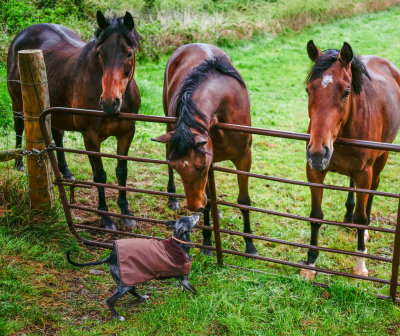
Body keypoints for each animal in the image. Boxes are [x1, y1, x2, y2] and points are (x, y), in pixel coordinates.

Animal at [6, 11, 142, 231]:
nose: (109, 102)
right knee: (19, 127)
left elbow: (122, 172)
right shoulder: (91, 138)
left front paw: (125, 213)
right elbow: (100, 175)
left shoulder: (127, 133)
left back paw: (66, 172)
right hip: (18, 102)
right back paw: (19, 163)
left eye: (129, 53)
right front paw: (105, 218)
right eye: (100, 53)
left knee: (57, 135)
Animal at [69, 214, 202, 322]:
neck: (179, 244)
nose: (198, 212)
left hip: (129, 280)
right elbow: (195, 291)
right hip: (124, 285)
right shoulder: (185, 279)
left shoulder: (181, 279)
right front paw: (201, 299)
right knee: (110, 301)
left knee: (132, 290)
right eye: (191, 218)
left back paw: (142, 297)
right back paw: (118, 317)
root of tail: (111, 256)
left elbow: (183, 289)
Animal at [152, 44, 258, 255]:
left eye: (201, 167)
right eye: (176, 167)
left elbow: (243, 201)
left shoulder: (243, 158)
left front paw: (250, 246)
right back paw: (172, 198)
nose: (193, 206)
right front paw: (208, 242)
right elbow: (208, 201)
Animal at [302, 40, 400, 280]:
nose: (317, 153)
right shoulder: (315, 171)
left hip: (379, 163)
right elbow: (316, 215)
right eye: (308, 89)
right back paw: (347, 217)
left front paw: (360, 266)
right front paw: (310, 263)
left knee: (372, 193)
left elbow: (361, 217)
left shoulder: (365, 173)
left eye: (346, 91)